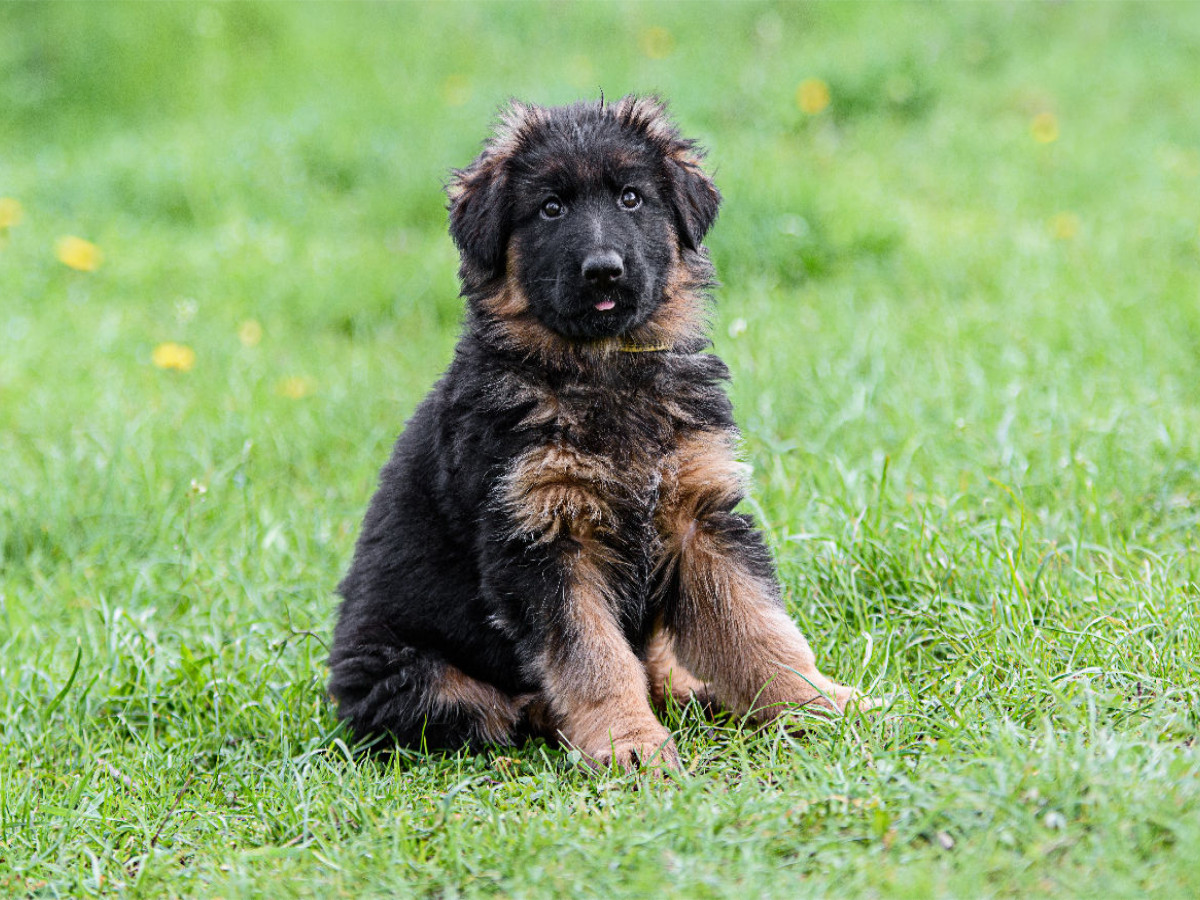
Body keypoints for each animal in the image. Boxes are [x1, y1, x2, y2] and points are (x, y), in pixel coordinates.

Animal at [324, 98, 859, 777]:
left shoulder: (699, 516)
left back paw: (693, 691)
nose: (604, 270)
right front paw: (630, 743)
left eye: (631, 198)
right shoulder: (545, 537)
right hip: (408, 672)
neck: (601, 370)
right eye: (551, 208)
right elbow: (593, 658)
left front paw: (816, 702)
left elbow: (755, 626)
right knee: (486, 711)